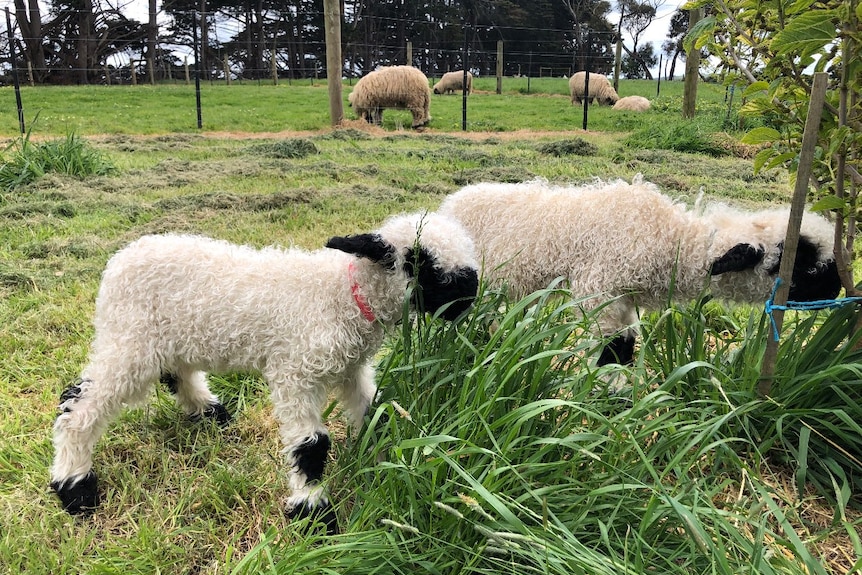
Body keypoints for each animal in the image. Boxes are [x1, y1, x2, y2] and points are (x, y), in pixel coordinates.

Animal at [49, 212, 480, 536]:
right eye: (420, 262)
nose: (470, 295)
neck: (342, 294)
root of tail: (119, 259)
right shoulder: (295, 373)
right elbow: (311, 445)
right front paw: (313, 515)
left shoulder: (350, 369)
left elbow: (376, 413)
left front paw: (389, 458)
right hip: (130, 340)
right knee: (78, 404)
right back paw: (75, 487)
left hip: (169, 335)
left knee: (176, 373)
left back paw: (210, 412)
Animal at [442, 176, 840, 366]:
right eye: (801, 259)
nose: (837, 290)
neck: (670, 239)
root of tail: (452, 200)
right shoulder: (598, 291)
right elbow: (609, 348)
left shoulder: (625, 299)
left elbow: (626, 344)